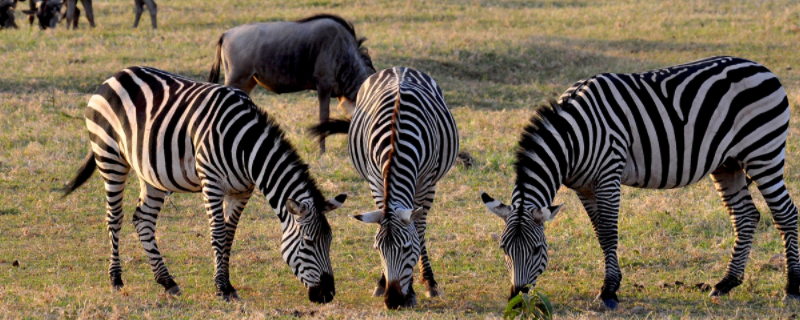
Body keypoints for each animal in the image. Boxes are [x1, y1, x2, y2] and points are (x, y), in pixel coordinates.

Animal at [63, 67, 346, 302]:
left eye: (330, 241)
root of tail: (115, 76)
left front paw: (227, 284)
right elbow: (218, 234)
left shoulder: (242, 191)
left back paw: (167, 281)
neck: (246, 147)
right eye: (308, 242)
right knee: (114, 217)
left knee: (143, 219)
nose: (328, 295)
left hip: (151, 172)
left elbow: (229, 237)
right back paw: (116, 279)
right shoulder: (212, 183)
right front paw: (222, 288)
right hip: (109, 155)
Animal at [310, 67, 456, 308]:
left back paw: (430, 282)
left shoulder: (424, 181)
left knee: (422, 224)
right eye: (378, 249)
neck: (397, 143)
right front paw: (381, 282)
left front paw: (416, 288)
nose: (393, 300)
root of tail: (400, 68)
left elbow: (418, 229)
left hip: (432, 183)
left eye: (407, 248)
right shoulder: (376, 179)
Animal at [482, 56, 800, 308]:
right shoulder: (583, 187)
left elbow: (609, 232)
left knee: (785, 214)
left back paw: (791, 287)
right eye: (504, 249)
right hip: (728, 163)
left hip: (764, 153)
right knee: (745, 216)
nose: (516, 298)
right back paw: (726, 283)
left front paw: (609, 291)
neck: (573, 137)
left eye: (537, 250)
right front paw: (612, 284)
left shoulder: (609, 173)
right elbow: (600, 234)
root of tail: (761, 67)